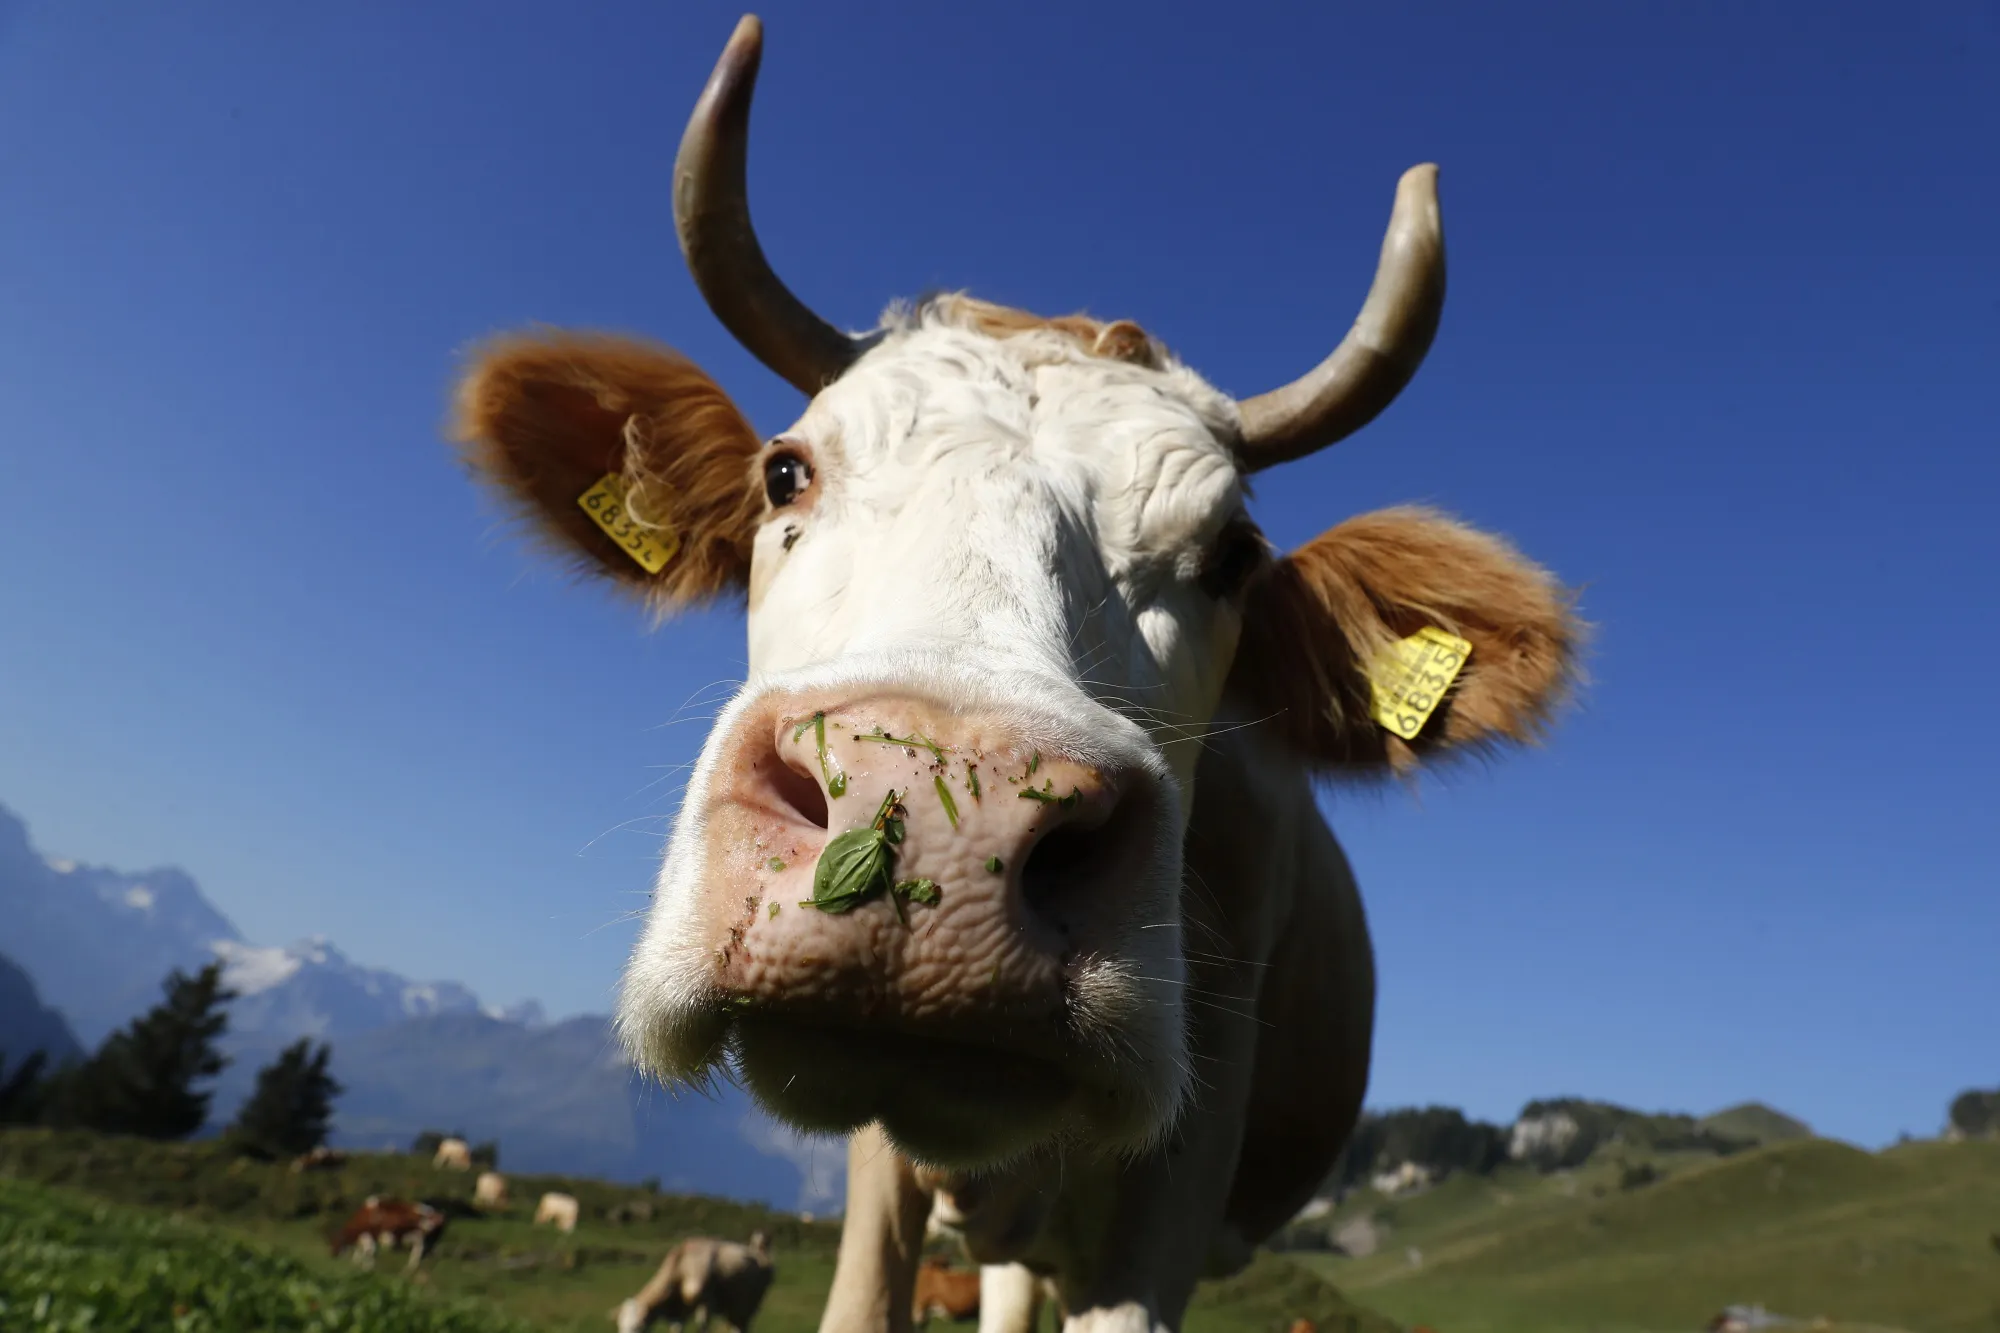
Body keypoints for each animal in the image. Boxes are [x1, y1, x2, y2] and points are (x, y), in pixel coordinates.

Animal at [616, 1232, 777, 1333]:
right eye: (620, 1326)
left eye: (636, 1327)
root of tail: (759, 1252)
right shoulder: (679, 1310)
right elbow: (677, 1328)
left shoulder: (706, 1303)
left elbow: (703, 1328)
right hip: (733, 1308)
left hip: (748, 1306)